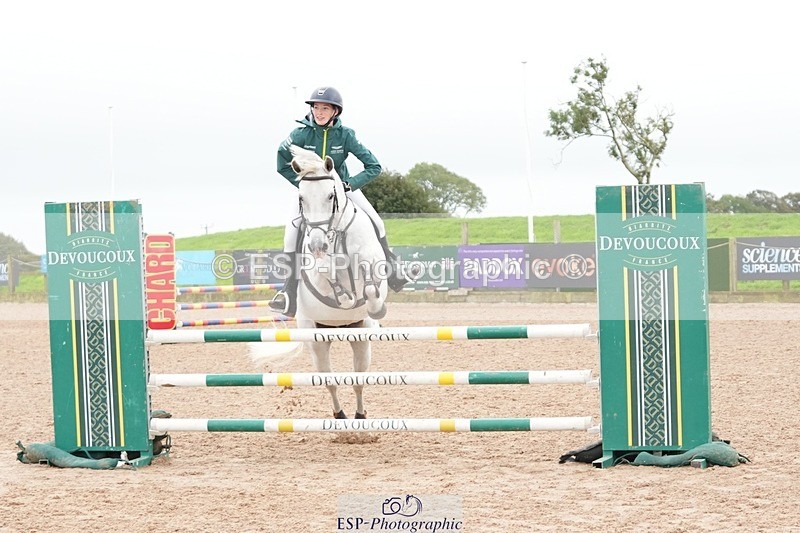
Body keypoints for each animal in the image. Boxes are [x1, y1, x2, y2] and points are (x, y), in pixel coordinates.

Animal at [289, 145, 389, 419]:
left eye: (330, 196)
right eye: (301, 199)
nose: (317, 245)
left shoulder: (371, 262)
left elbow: (370, 286)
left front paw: (373, 305)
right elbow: (326, 273)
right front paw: (343, 294)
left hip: (361, 337)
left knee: (358, 380)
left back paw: (360, 415)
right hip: (317, 340)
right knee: (330, 381)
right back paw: (341, 415)